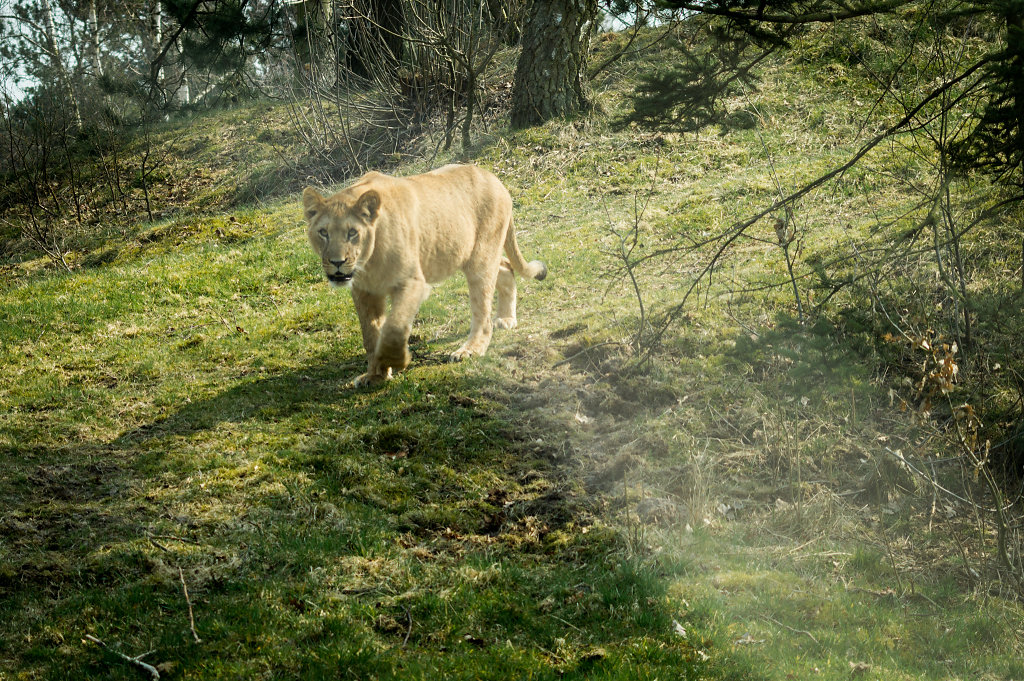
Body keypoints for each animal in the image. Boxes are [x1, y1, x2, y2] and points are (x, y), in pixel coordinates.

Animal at [302, 164, 547, 387]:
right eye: (323, 233)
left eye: (352, 233)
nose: (337, 263)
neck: (369, 261)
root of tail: (494, 178)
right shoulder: (363, 291)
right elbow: (370, 334)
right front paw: (375, 375)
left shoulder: (413, 283)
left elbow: (394, 327)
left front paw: (395, 361)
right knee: (505, 267)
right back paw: (506, 319)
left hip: (481, 257)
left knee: (483, 311)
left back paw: (470, 349)